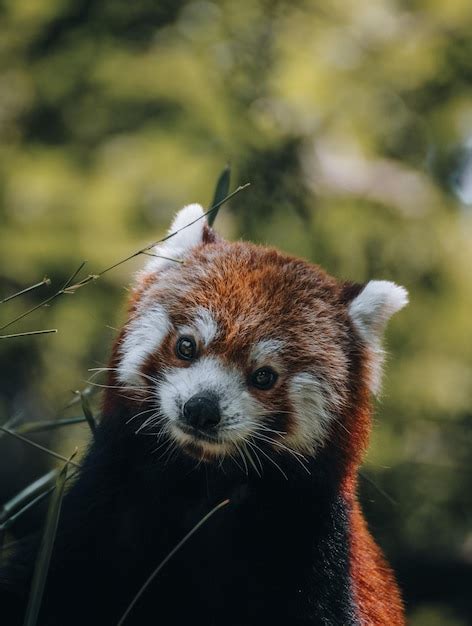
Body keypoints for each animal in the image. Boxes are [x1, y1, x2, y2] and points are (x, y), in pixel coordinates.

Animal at [0, 202, 408, 620]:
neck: (200, 482)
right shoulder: (102, 507)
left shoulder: (307, 548)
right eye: (186, 346)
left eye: (264, 376)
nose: (201, 409)